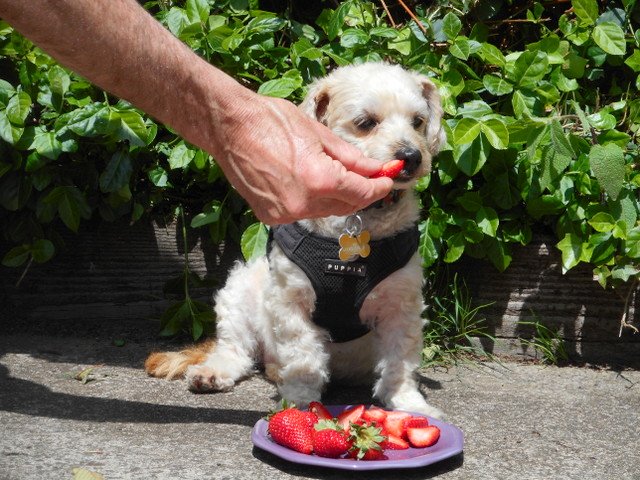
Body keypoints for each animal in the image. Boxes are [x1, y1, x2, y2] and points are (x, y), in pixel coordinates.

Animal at [145, 62, 444, 416]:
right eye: (366, 123)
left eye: (418, 121)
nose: (411, 155)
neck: (357, 220)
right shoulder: (292, 300)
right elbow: (303, 356)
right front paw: (301, 404)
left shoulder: (402, 305)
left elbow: (400, 359)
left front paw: (408, 402)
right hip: (240, 289)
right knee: (237, 350)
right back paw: (217, 371)